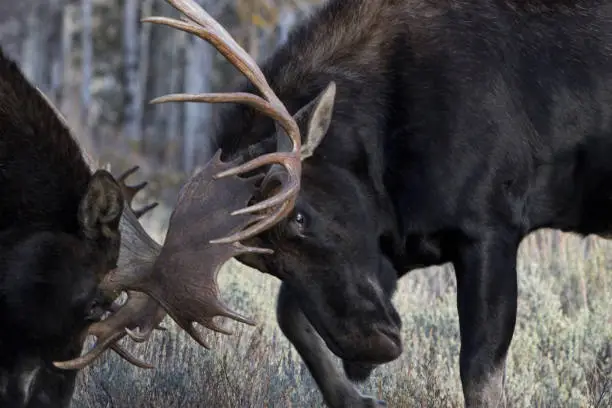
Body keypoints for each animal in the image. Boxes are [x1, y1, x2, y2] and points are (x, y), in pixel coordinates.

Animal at [53, 0, 612, 406]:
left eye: (299, 215)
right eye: (260, 260)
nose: (371, 348)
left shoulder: (489, 225)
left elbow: (479, 373)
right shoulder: (400, 241)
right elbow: (291, 316)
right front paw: (355, 397)